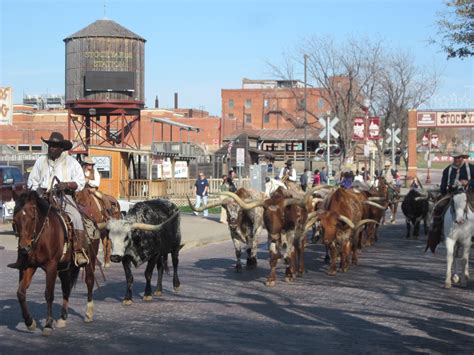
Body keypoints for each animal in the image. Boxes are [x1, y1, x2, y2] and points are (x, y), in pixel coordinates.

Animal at [12, 191, 99, 336]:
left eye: (32, 217)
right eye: (15, 219)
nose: (24, 248)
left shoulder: (51, 266)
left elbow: (49, 294)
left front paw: (47, 325)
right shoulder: (30, 266)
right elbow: (21, 293)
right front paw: (30, 322)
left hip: (90, 259)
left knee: (89, 280)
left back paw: (88, 313)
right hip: (63, 267)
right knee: (66, 287)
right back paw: (63, 318)